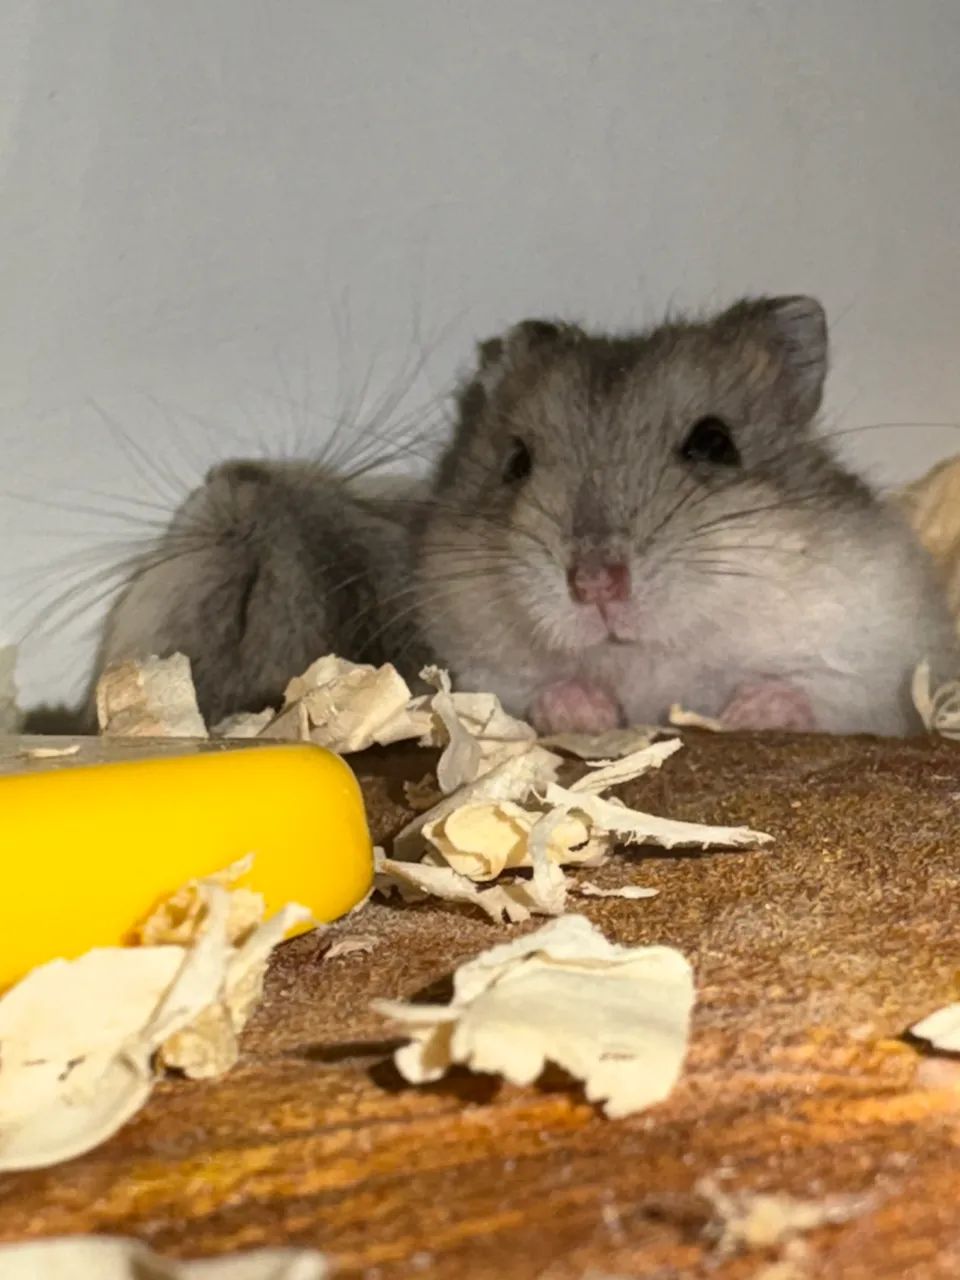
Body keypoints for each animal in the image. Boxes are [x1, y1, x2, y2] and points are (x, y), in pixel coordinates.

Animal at [91, 295, 958, 736]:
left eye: (715, 443)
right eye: (516, 463)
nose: (595, 583)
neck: (648, 661)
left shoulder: (878, 668)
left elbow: (815, 693)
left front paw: (749, 710)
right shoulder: (479, 669)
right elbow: (532, 691)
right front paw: (586, 709)